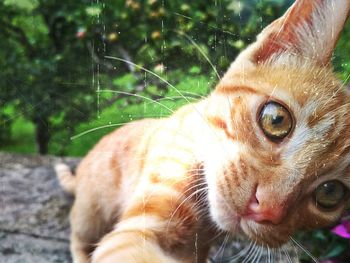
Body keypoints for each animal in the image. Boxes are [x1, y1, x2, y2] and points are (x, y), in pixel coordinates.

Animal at [55, 0, 350, 262]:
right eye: (276, 120)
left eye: (330, 193)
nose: (267, 209)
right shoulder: (133, 231)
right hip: (89, 213)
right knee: (78, 238)